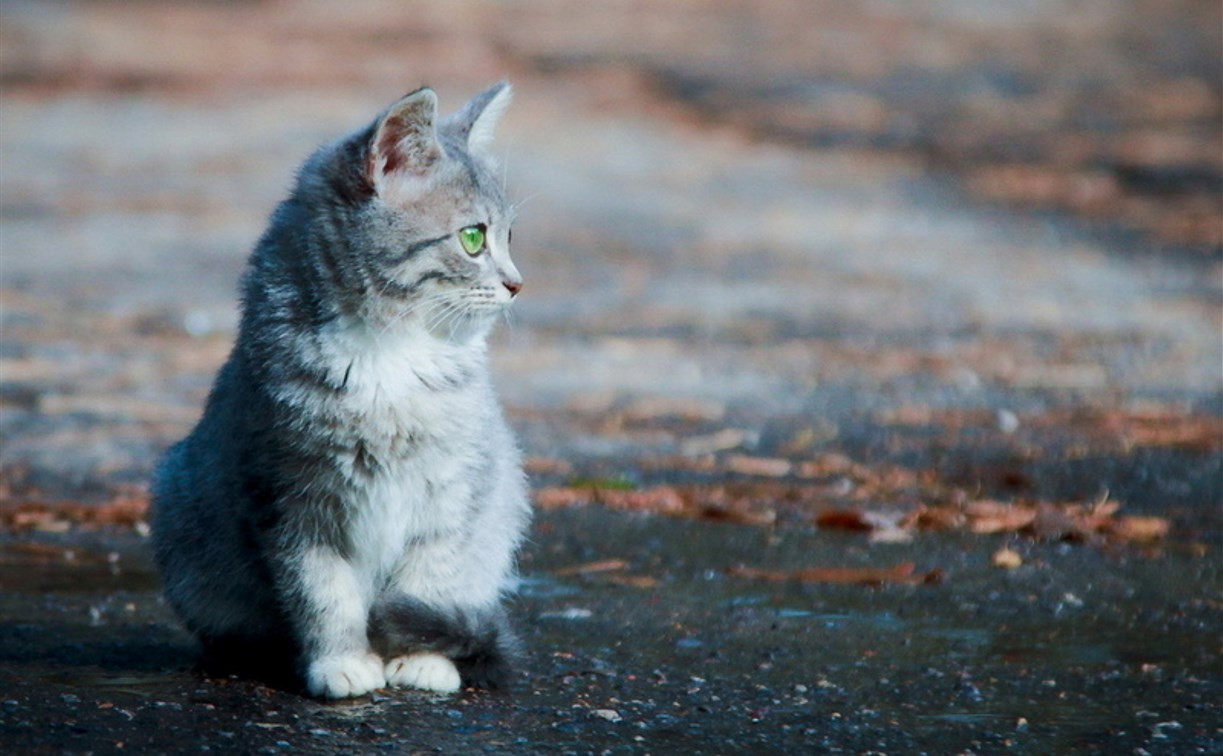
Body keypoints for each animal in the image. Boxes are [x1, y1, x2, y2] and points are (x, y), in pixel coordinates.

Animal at [149, 80, 530, 694]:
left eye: (510, 236)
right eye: (473, 238)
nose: (517, 284)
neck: (391, 355)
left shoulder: (456, 489)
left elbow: (431, 578)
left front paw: (422, 658)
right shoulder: (289, 500)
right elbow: (322, 593)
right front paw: (341, 661)